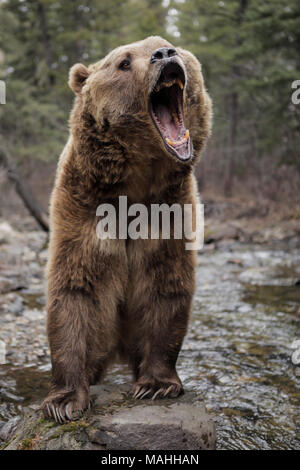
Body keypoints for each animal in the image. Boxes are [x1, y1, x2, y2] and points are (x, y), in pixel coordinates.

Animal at [41, 35, 211, 420]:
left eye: (168, 43)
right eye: (123, 62)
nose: (164, 54)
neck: (136, 180)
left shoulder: (169, 208)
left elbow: (165, 286)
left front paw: (156, 384)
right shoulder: (84, 205)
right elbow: (76, 288)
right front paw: (64, 400)